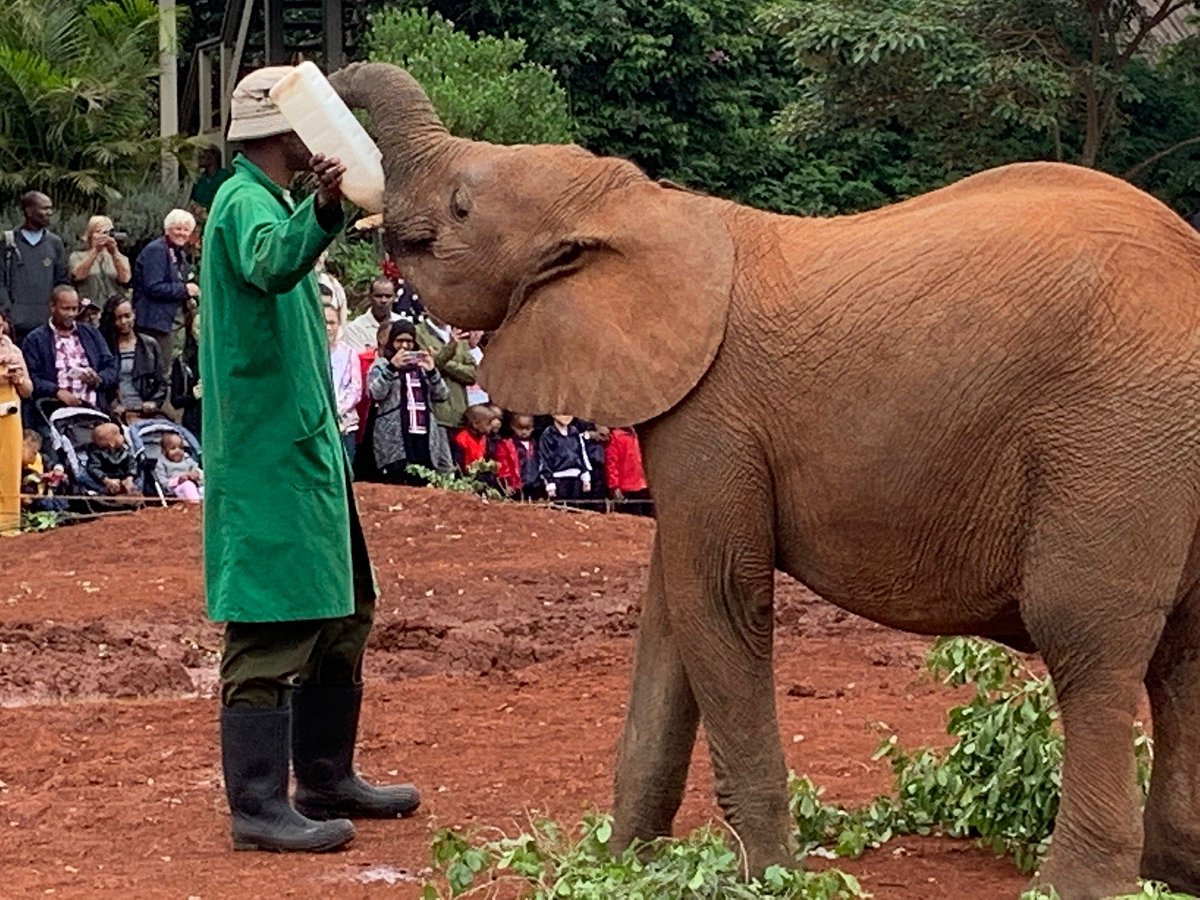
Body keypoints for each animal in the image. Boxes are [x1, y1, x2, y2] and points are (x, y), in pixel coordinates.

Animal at [331, 61, 1200, 900]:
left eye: (462, 205)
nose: (318, 101)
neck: (645, 205)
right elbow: (669, 617)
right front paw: (624, 865)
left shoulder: (715, 414)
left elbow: (716, 597)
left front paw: (770, 878)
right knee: (1182, 654)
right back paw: (1173, 875)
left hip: (1116, 435)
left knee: (1088, 640)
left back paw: (1082, 886)